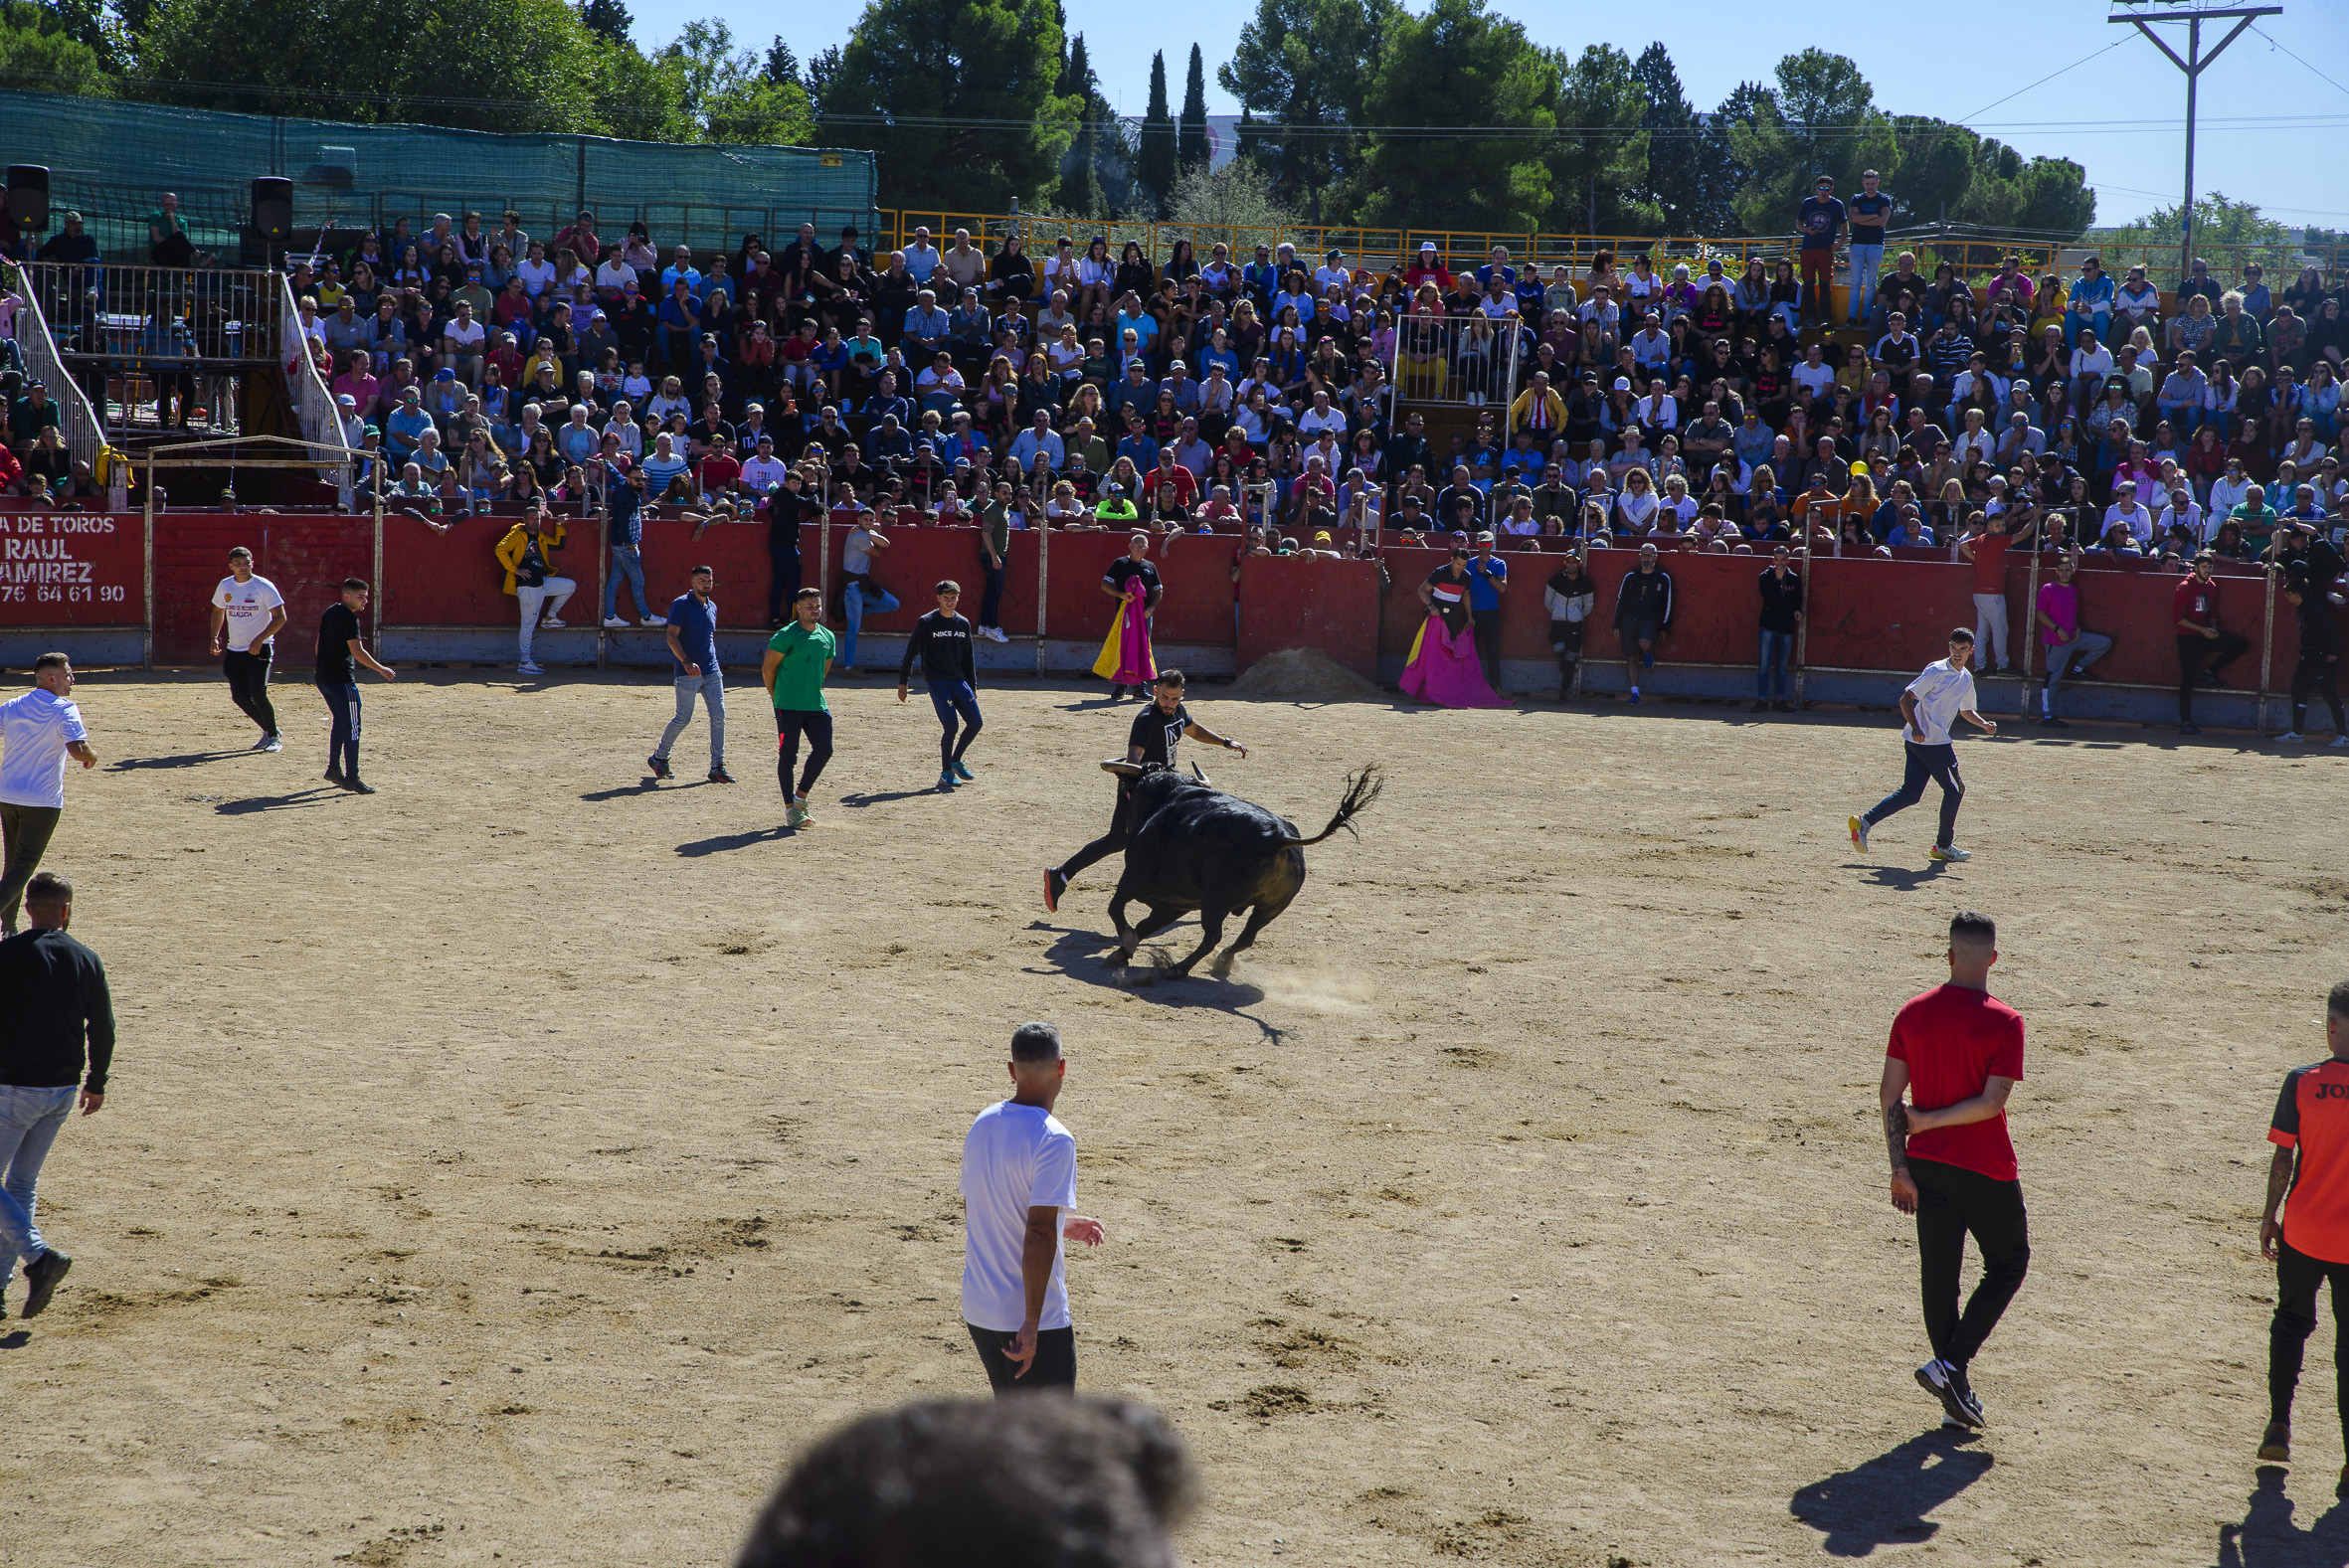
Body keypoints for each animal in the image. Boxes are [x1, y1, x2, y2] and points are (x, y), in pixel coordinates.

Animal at [1108, 760, 1380, 971]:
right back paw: (1222, 963)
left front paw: (1127, 943)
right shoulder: (1175, 904)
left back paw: (1178, 969)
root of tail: (1277, 839)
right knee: (1246, 937)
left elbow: (1116, 909)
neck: (1168, 794)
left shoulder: (1134, 876)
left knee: (1212, 936)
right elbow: (1144, 925)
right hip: (1271, 908)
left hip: (1216, 901)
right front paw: (1121, 953)